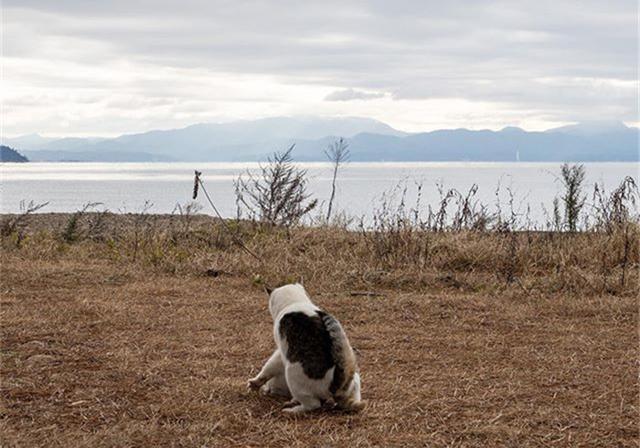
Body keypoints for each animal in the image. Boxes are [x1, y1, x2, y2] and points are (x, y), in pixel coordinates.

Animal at [246, 284, 362, 412]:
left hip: (292, 374)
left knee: (313, 405)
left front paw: (255, 383)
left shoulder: (281, 351)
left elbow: (268, 367)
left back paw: (292, 410)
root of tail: (337, 385)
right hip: (354, 378)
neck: (296, 302)